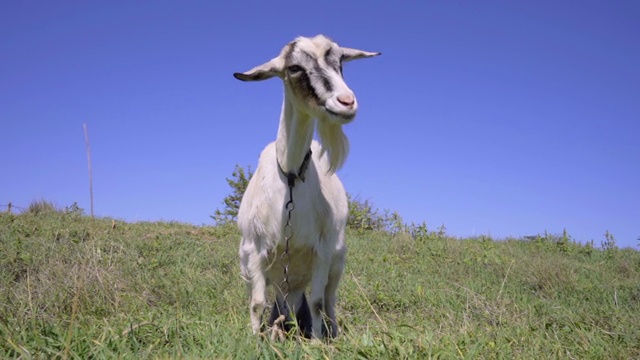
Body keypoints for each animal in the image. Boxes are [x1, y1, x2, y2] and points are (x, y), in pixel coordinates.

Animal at [235, 34, 380, 338]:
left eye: (340, 61)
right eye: (294, 68)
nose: (346, 102)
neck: (290, 178)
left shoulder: (322, 250)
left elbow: (316, 303)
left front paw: (315, 341)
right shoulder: (254, 249)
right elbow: (256, 303)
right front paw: (254, 339)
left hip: (336, 262)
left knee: (328, 299)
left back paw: (330, 331)